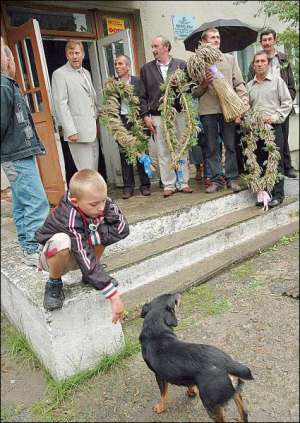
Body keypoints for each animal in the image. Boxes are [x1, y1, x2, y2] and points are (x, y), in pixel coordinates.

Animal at [139, 294, 254, 422]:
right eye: (174, 300)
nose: (178, 294)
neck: (156, 329)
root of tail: (227, 363)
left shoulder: (159, 376)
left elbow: (163, 394)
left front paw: (160, 407)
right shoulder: (186, 376)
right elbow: (188, 384)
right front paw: (191, 392)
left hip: (211, 405)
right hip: (235, 393)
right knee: (244, 414)